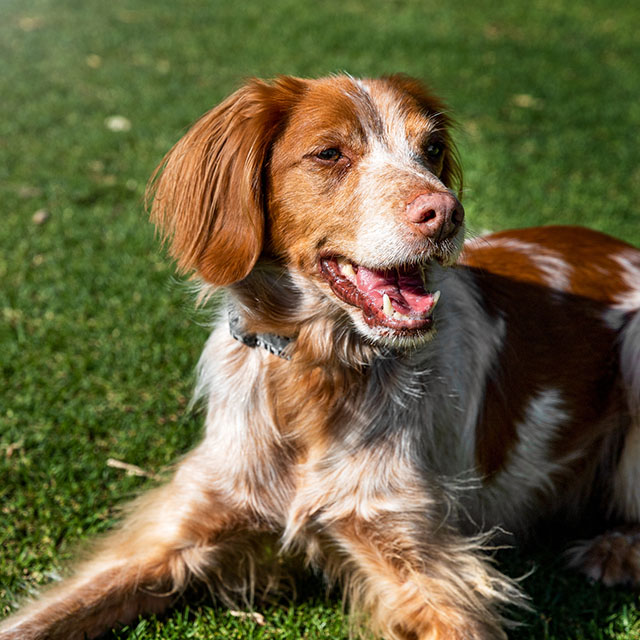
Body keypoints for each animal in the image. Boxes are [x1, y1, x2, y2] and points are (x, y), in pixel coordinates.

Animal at [1, 75, 640, 640]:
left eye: (431, 149)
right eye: (330, 153)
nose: (447, 212)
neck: (315, 367)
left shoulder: (432, 568)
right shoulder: (177, 532)